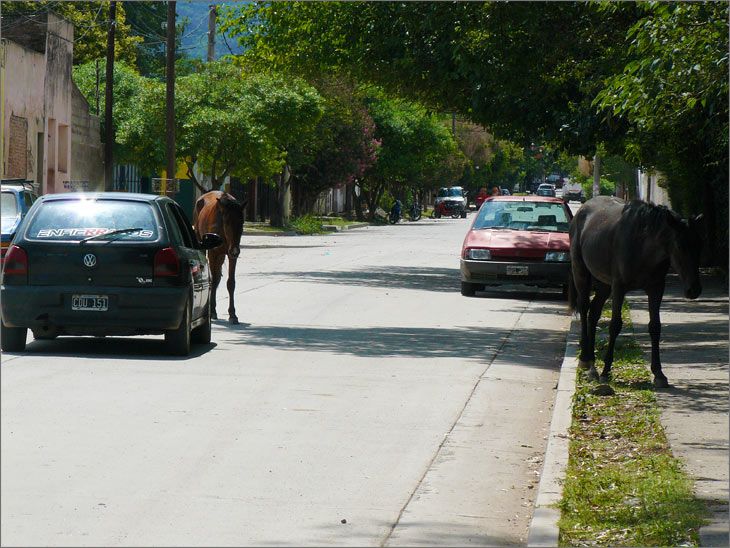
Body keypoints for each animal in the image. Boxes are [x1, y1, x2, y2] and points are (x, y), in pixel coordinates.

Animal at [192, 191, 246, 324]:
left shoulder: (231, 256)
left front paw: (232, 314)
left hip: (222, 256)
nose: (235, 250)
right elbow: (214, 279)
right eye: (227, 222)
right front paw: (212, 311)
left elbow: (230, 283)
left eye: (242, 223)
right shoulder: (213, 253)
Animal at [564, 195, 704, 388]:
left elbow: (655, 327)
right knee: (584, 308)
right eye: (679, 246)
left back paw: (592, 365)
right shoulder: (619, 287)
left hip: (604, 284)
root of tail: (581, 210)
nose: (694, 289)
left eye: (699, 245)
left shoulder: (656, 288)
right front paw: (606, 371)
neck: (642, 245)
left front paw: (659, 373)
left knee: (594, 313)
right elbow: (615, 325)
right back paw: (586, 359)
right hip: (581, 273)